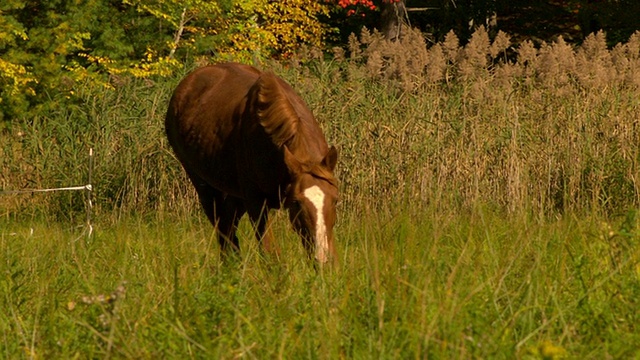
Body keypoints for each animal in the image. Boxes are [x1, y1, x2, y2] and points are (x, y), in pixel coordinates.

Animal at [165, 62, 340, 264]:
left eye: (335, 200)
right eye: (296, 202)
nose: (323, 258)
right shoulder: (256, 203)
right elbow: (270, 254)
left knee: (228, 228)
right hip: (205, 187)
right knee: (222, 229)